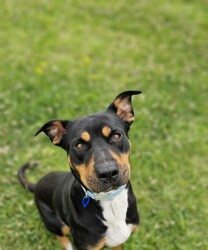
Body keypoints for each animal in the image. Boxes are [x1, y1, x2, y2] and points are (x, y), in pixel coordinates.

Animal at [17, 90, 141, 250]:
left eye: (116, 135)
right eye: (79, 145)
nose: (107, 173)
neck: (110, 200)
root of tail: (37, 184)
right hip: (55, 222)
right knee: (60, 235)